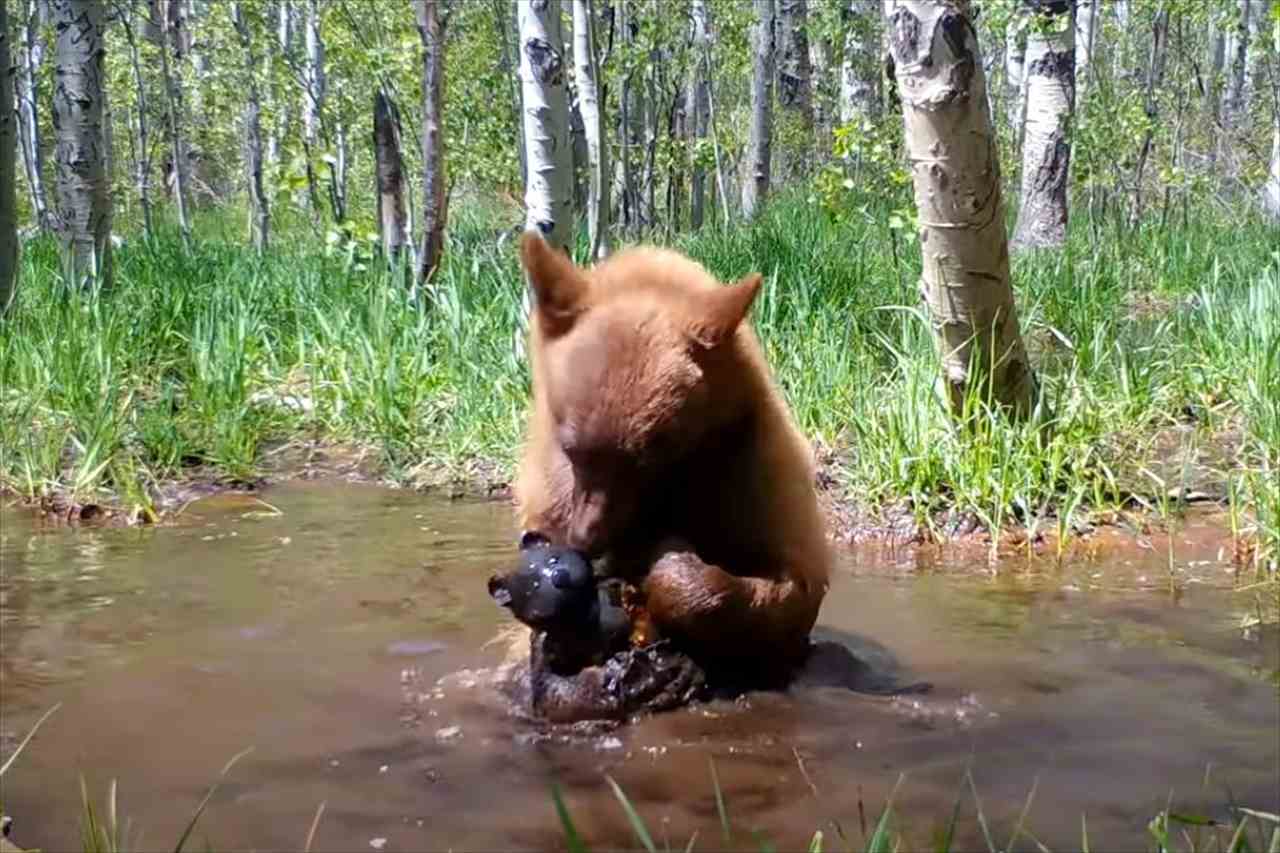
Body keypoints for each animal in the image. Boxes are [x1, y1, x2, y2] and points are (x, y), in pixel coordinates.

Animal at [514, 233, 834, 686]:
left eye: (646, 460)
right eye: (573, 449)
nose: (585, 541)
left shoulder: (754, 473)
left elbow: (792, 586)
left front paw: (667, 562)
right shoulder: (552, 492)